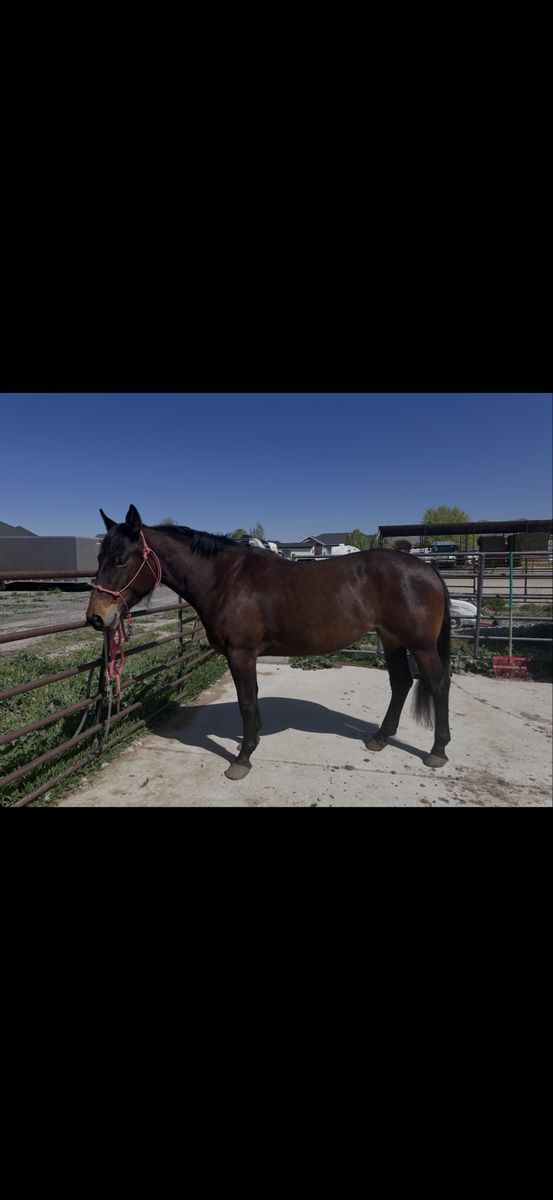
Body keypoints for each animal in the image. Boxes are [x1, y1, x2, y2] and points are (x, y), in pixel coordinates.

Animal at [86, 505, 452, 781]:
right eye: (99, 558)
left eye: (120, 559)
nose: (97, 617)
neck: (226, 579)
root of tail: (426, 569)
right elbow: (253, 700)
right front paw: (251, 743)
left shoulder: (241, 655)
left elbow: (247, 703)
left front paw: (242, 759)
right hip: (391, 640)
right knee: (400, 682)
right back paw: (380, 738)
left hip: (420, 645)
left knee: (437, 684)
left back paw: (437, 751)